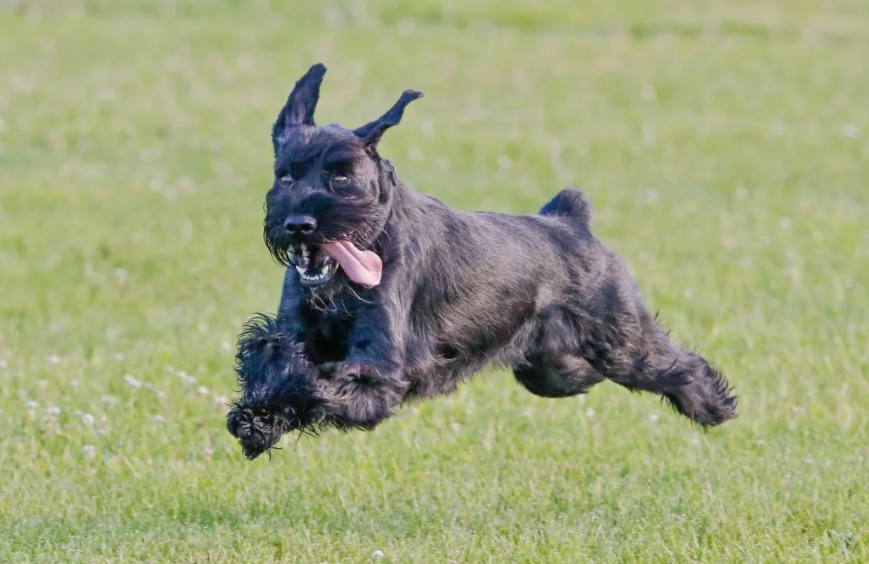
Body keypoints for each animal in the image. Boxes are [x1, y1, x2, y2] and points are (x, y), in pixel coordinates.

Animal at [224, 62, 732, 458]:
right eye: (285, 176)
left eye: (342, 175)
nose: (298, 224)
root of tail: (571, 220)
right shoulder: (296, 328)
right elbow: (273, 351)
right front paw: (256, 417)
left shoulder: (380, 371)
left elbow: (318, 381)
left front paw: (271, 404)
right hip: (550, 369)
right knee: (583, 374)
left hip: (621, 341)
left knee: (675, 365)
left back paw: (714, 406)